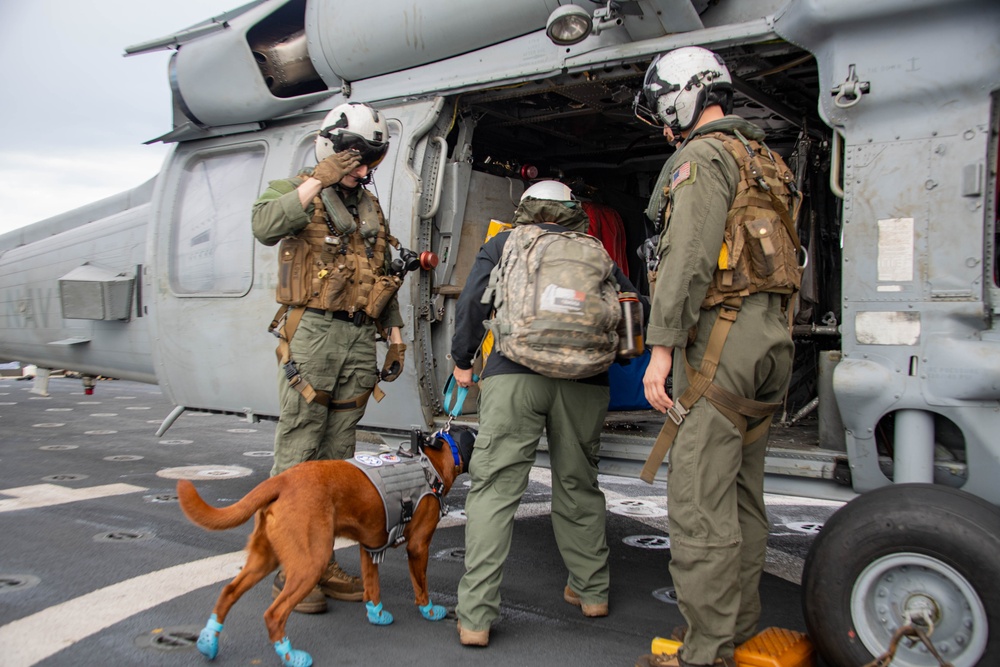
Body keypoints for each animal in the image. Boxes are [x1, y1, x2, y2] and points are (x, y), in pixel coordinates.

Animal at [177, 430, 472, 664]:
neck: (433, 460)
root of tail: (282, 480)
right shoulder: (418, 546)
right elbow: (421, 586)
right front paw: (429, 611)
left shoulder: (370, 548)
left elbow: (372, 588)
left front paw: (377, 615)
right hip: (310, 564)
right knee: (274, 614)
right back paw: (290, 655)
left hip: (264, 558)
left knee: (228, 592)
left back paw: (208, 641)